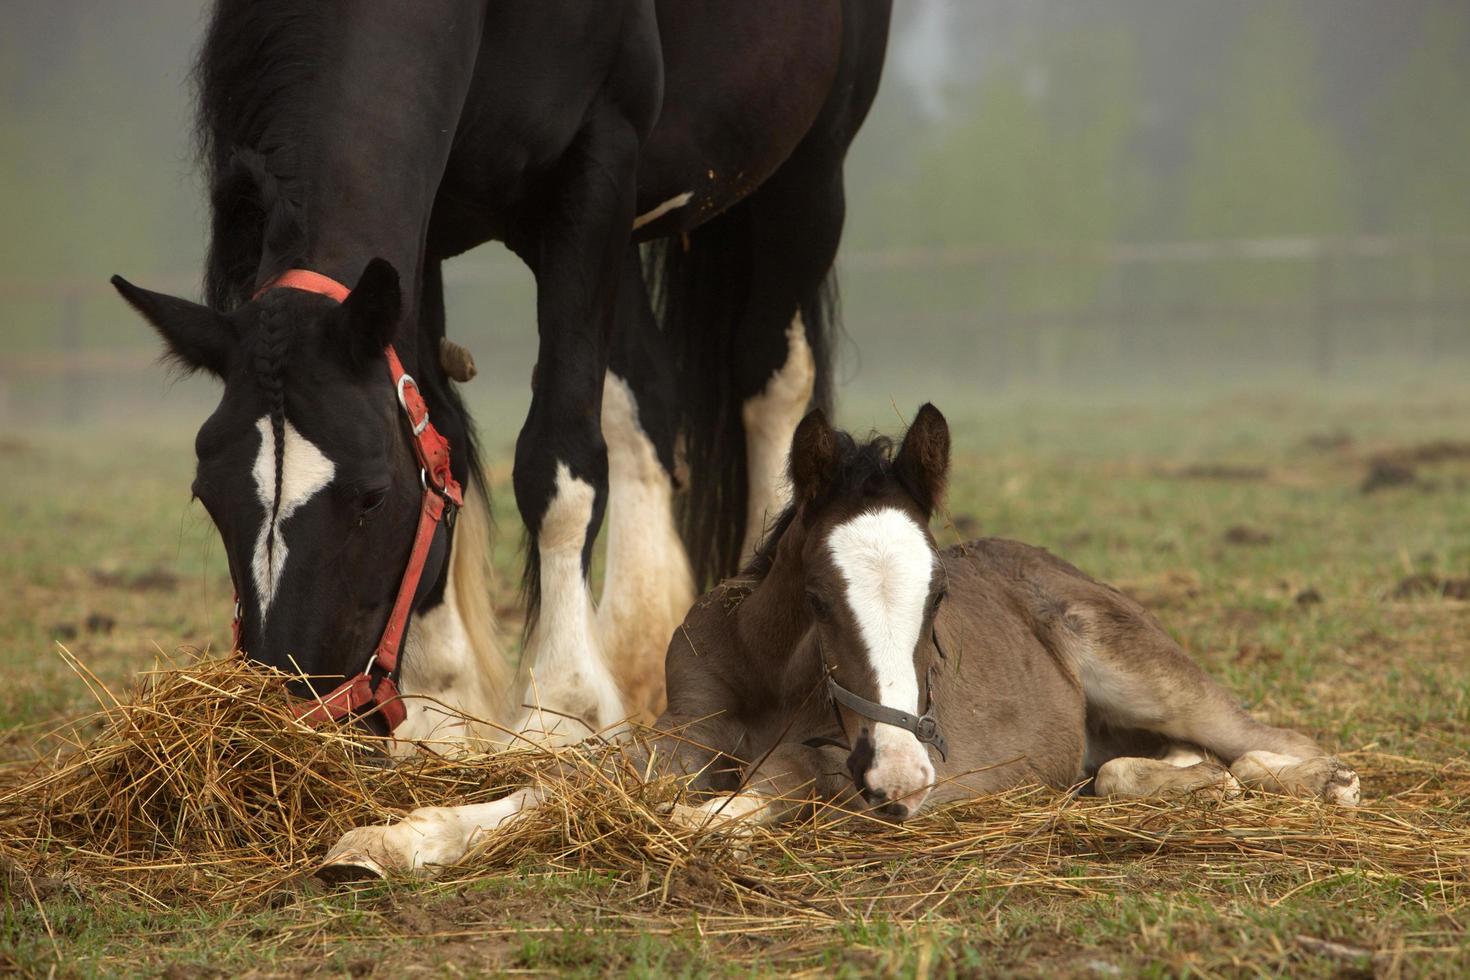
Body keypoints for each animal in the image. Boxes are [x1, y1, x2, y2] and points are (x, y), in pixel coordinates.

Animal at [111, 0, 882, 746]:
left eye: (370, 497)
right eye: (207, 496)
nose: (284, 727)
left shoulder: (594, 169)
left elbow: (556, 458)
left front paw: (563, 710)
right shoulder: (420, 237)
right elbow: (440, 438)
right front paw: (441, 708)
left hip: (806, 178)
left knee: (773, 383)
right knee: (645, 404)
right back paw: (638, 659)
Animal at [318, 402, 1352, 875]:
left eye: (939, 597)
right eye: (818, 596)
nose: (902, 778)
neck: (761, 676)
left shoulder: (814, 768)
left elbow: (706, 817)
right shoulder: (679, 739)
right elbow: (567, 785)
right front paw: (384, 843)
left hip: (1136, 669)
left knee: (1266, 737)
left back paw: (1310, 781)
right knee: (1142, 765)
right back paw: (1181, 783)